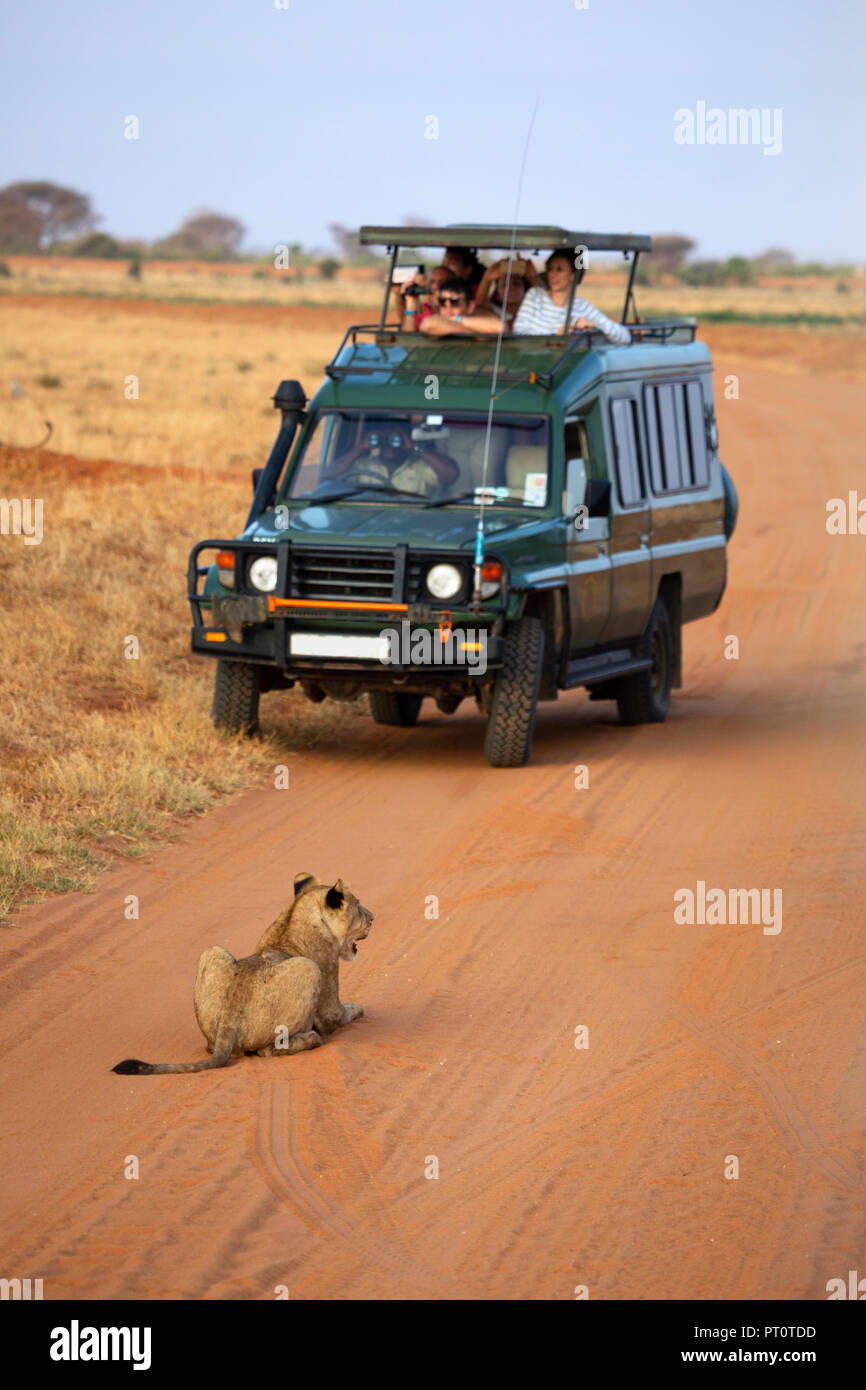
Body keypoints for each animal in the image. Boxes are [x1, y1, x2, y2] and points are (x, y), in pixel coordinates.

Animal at [111, 872, 372, 1078]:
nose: (372, 918)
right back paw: (311, 1038)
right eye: (358, 905)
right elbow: (343, 1013)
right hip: (309, 969)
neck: (294, 916)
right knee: (270, 1049)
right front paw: (357, 1008)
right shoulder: (328, 997)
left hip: (212, 951)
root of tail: (230, 1021)